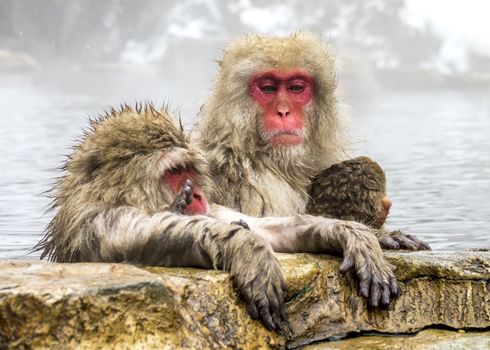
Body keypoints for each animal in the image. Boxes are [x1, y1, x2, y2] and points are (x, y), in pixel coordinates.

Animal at [36, 104, 400, 330]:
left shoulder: (212, 205)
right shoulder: (102, 222)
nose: (196, 194)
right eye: (174, 172)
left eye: (189, 169)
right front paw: (248, 251)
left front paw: (357, 235)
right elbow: (155, 236)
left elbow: (266, 228)